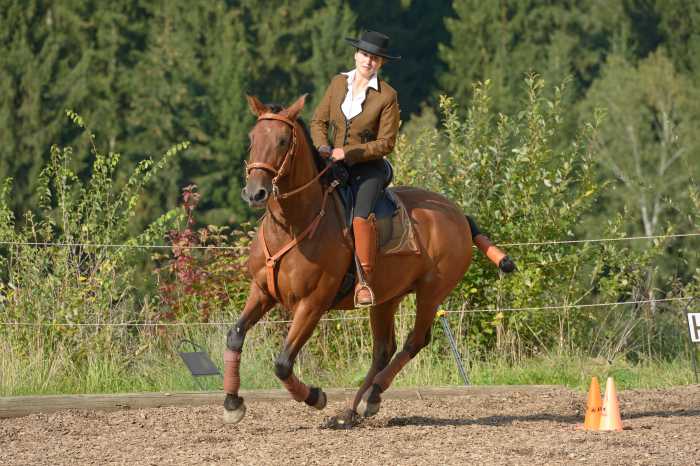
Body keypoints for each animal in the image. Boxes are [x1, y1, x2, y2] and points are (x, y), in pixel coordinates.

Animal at [224, 93, 516, 428]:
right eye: (252, 139)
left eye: (283, 140)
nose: (255, 193)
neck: (291, 225)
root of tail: (459, 215)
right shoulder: (261, 291)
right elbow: (235, 336)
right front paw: (232, 403)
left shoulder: (312, 304)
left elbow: (283, 363)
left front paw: (315, 396)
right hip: (386, 298)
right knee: (383, 350)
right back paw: (354, 409)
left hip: (431, 292)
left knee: (415, 340)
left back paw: (372, 396)